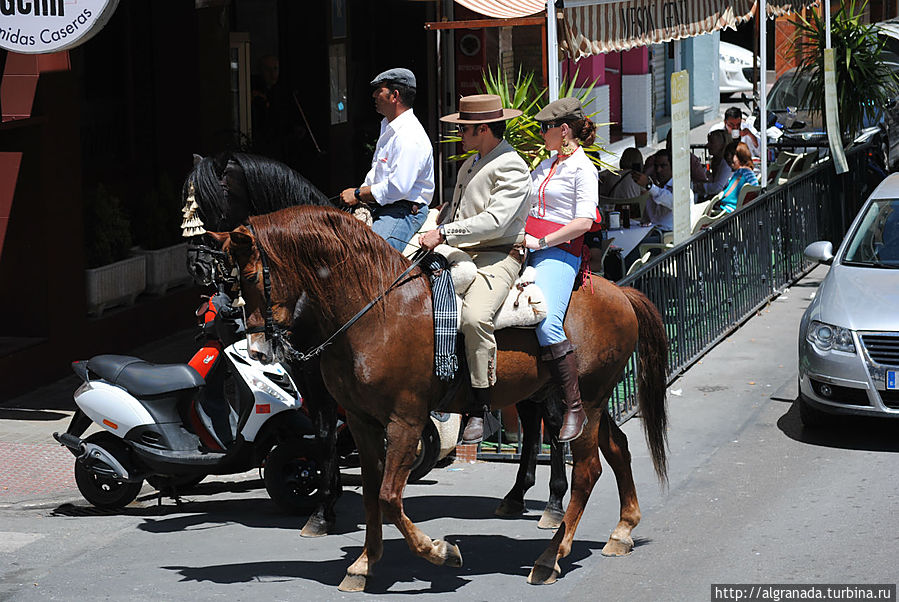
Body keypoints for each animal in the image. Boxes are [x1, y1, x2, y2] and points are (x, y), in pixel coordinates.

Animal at [211, 204, 668, 588]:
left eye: (250, 279)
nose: (256, 350)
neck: (377, 312)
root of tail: (619, 292)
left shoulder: (406, 421)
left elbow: (389, 497)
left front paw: (440, 552)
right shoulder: (361, 422)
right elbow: (373, 494)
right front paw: (364, 563)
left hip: (584, 403)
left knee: (587, 471)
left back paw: (550, 557)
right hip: (593, 402)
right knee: (618, 448)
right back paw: (622, 530)